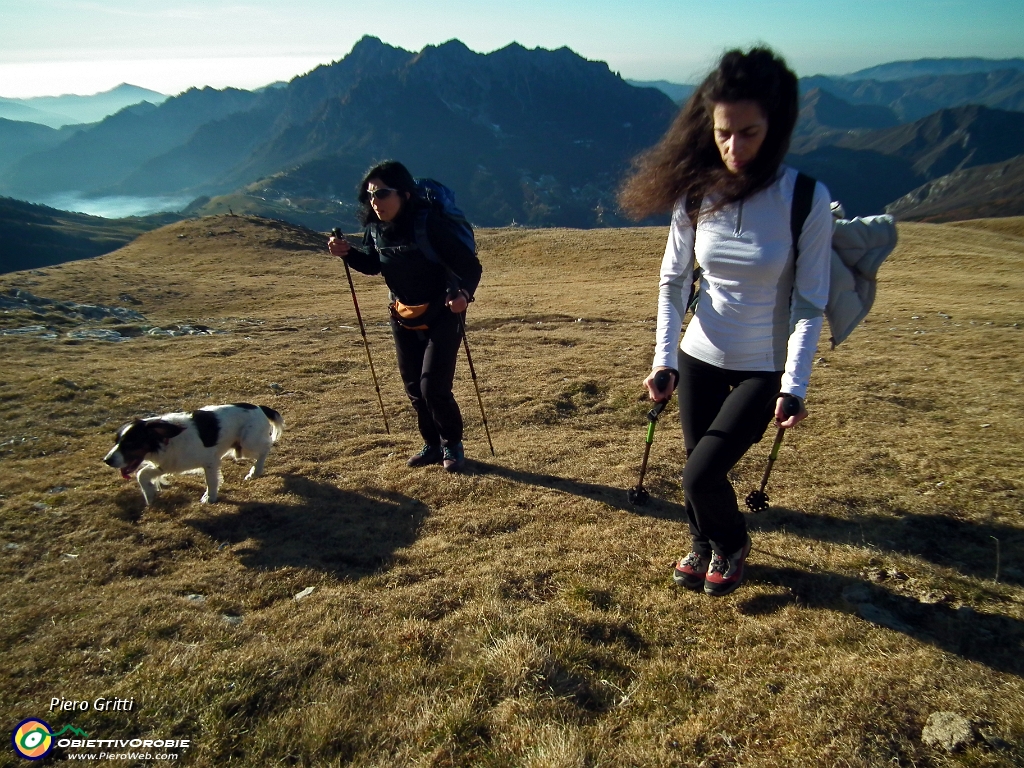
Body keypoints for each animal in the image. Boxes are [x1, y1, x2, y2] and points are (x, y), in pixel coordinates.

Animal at [102, 403, 284, 505]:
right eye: (116, 441)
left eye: (130, 443)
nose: (107, 460)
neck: (167, 439)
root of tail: (259, 407)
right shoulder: (168, 464)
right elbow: (142, 474)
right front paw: (150, 494)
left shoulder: (210, 461)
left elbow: (211, 481)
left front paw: (209, 498)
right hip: (239, 449)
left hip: (247, 444)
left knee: (266, 447)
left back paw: (255, 471)